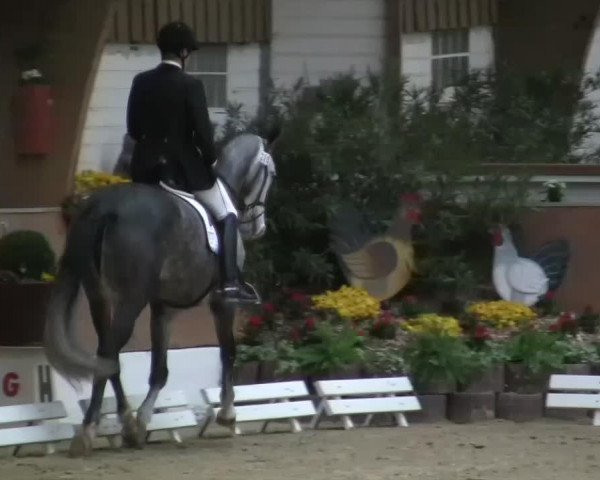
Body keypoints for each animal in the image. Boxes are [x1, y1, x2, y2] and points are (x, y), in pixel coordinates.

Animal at [44, 133, 276, 456]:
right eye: (273, 174)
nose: (259, 228)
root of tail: (106, 207)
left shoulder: (164, 307)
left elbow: (159, 369)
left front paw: (140, 423)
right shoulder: (221, 303)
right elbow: (228, 352)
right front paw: (228, 415)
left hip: (99, 297)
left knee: (107, 355)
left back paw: (123, 422)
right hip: (130, 300)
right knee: (108, 352)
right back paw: (89, 430)